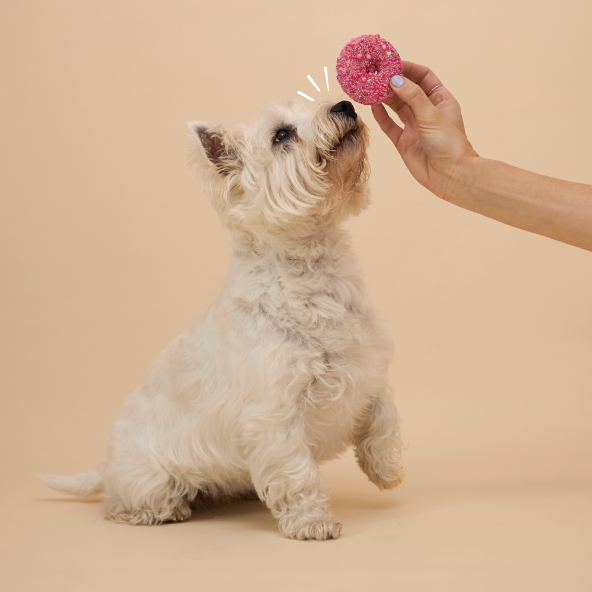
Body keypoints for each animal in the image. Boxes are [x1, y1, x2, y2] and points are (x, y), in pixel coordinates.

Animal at [41, 98, 404, 540]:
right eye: (281, 135)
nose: (345, 105)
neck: (316, 271)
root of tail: (107, 464)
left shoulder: (368, 366)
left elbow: (384, 416)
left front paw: (387, 470)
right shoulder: (274, 413)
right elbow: (298, 472)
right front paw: (313, 522)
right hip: (148, 476)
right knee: (124, 501)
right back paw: (164, 510)